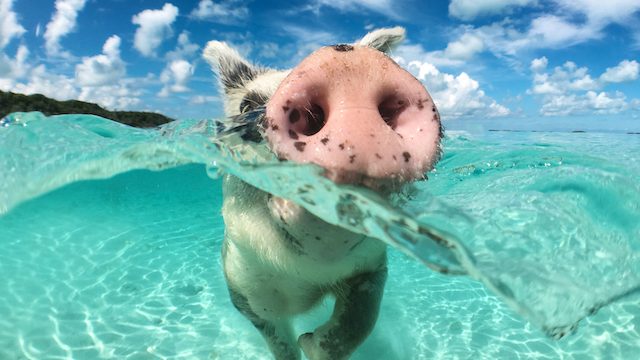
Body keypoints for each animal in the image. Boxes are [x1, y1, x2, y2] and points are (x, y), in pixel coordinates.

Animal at [204, 26, 440, 360]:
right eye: (246, 106)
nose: (348, 66)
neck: (309, 275)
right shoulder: (244, 290)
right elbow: (281, 344)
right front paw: (301, 345)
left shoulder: (372, 267)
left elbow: (359, 320)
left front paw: (311, 343)